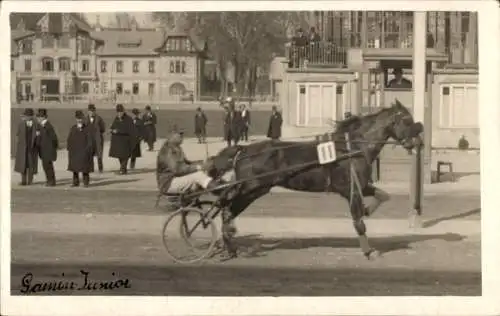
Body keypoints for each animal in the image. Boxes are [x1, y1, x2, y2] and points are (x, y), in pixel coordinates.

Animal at [205, 99, 424, 260]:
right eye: (407, 120)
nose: (418, 142)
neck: (352, 147)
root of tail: (243, 150)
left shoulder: (360, 186)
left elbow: (383, 195)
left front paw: (368, 208)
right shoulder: (350, 189)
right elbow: (359, 222)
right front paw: (368, 251)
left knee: (227, 210)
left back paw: (230, 244)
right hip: (253, 188)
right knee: (227, 210)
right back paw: (228, 241)